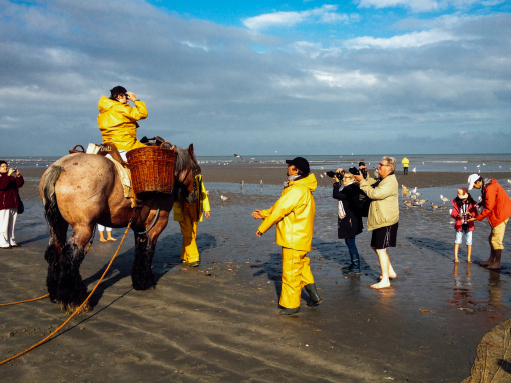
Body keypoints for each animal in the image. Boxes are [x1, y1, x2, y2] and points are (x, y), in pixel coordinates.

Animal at [39, 144, 200, 316]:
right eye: (196, 170)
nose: (194, 196)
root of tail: (59, 167)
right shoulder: (156, 226)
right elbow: (148, 251)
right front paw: (146, 281)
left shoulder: (139, 227)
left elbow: (140, 250)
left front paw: (139, 280)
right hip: (83, 227)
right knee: (69, 256)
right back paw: (76, 301)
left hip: (58, 225)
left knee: (54, 251)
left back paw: (56, 295)